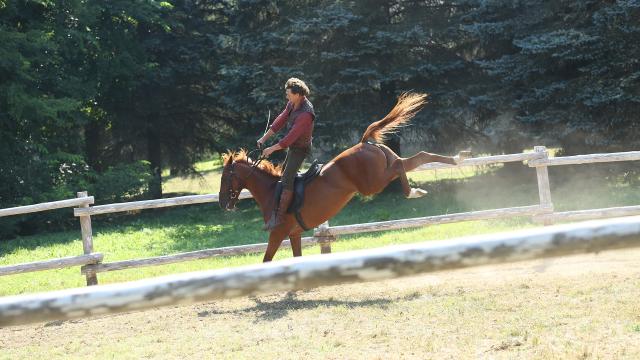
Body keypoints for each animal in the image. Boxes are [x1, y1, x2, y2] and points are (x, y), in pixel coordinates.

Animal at [222, 93, 468, 262]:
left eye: (226, 178)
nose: (224, 203)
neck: (271, 191)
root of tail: (364, 142)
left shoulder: (277, 233)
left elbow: (266, 260)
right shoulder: (294, 234)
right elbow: (296, 258)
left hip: (373, 183)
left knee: (400, 166)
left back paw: (414, 191)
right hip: (385, 167)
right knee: (418, 157)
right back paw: (456, 159)